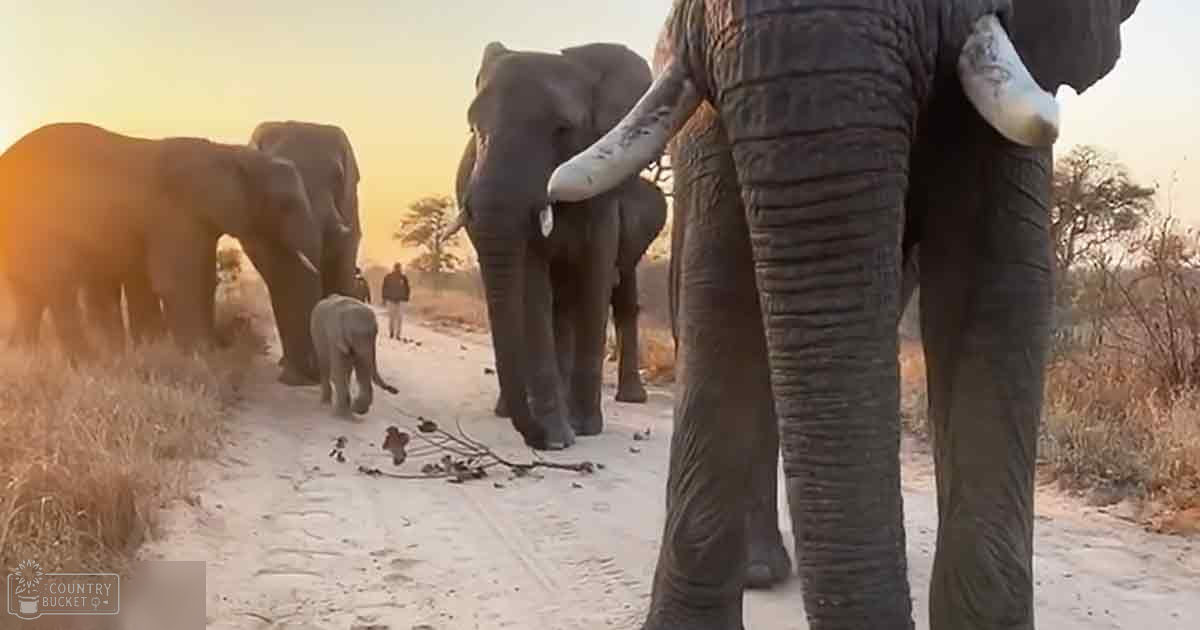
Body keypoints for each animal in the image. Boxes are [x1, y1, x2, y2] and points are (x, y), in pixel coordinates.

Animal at [0, 122, 322, 360]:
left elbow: (202, 279)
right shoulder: (175, 211)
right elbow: (179, 282)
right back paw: (87, 362)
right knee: (58, 286)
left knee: (30, 294)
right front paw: (200, 358)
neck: (231, 154)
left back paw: (26, 356)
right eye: (286, 204)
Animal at [248, 121, 362, 386]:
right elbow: (282, 277)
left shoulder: (349, 208)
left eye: (337, 177)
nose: (311, 375)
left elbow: (340, 274)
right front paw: (296, 376)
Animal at [454, 41, 668, 450]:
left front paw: (584, 429)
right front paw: (557, 438)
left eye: (563, 130)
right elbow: (533, 288)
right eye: (475, 128)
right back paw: (509, 411)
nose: (535, 439)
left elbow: (594, 280)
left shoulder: (605, 201)